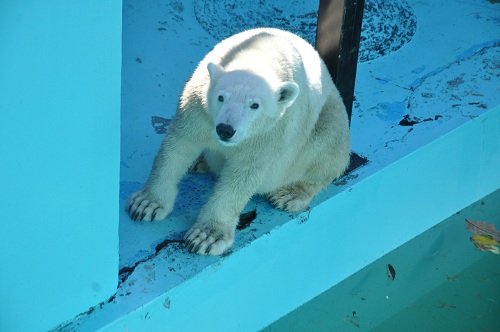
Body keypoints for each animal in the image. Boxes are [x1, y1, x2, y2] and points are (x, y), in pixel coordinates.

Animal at [127, 27, 350, 256]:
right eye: (221, 97)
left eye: (254, 105)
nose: (225, 130)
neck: (258, 54)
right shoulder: (198, 107)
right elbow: (179, 146)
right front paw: (146, 204)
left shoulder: (270, 133)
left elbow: (242, 176)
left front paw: (205, 237)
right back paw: (200, 163)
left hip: (327, 121)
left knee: (328, 147)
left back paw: (290, 194)